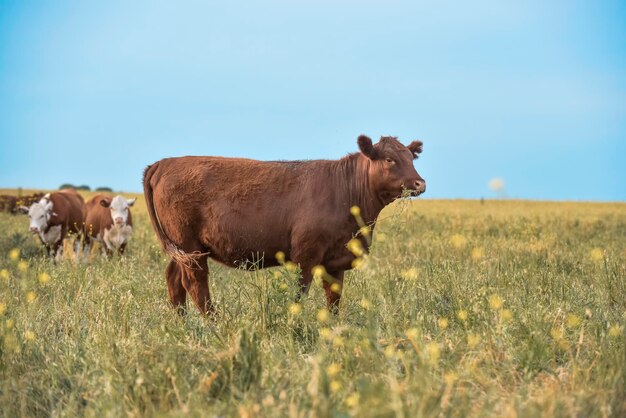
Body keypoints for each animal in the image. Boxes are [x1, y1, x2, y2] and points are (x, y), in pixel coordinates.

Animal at [142, 136, 424, 316]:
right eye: (389, 159)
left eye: (411, 157)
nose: (420, 183)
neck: (346, 189)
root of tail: (165, 163)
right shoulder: (306, 256)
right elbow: (300, 294)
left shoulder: (335, 261)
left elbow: (333, 300)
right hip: (191, 249)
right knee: (195, 284)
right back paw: (216, 323)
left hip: (181, 249)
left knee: (174, 280)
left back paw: (182, 323)